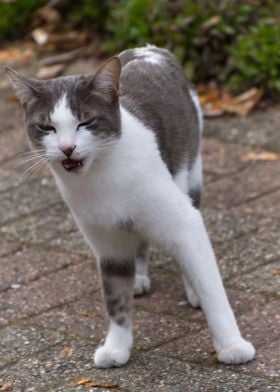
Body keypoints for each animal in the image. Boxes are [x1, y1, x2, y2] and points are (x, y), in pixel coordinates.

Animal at [7, 45, 256, 368]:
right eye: (46, 127)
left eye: (86, 122)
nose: (67, 148)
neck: (101, 177)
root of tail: (149, 48)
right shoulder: (106, 242)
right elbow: (115, 297)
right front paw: (117, 346)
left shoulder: (182, 221)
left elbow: (211, 286)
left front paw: (232, 345)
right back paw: (138, 276)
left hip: (191, 176)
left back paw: (191, 289)